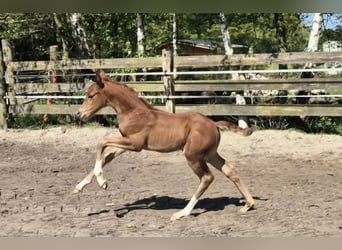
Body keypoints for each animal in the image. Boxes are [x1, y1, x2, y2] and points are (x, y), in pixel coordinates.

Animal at [74, 70, 254, 221]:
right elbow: (108, 156)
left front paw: (101, 181)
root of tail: (213, 123)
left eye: (91, 95)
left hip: (193, 155)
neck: (134, 112)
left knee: (207, 177)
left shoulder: (135, 143)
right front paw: (81, 186)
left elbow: (101, 142)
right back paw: (249, 205)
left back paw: (182, 213)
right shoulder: (128, 143)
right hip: (209, 154)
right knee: (230, 170)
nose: (79, 114)